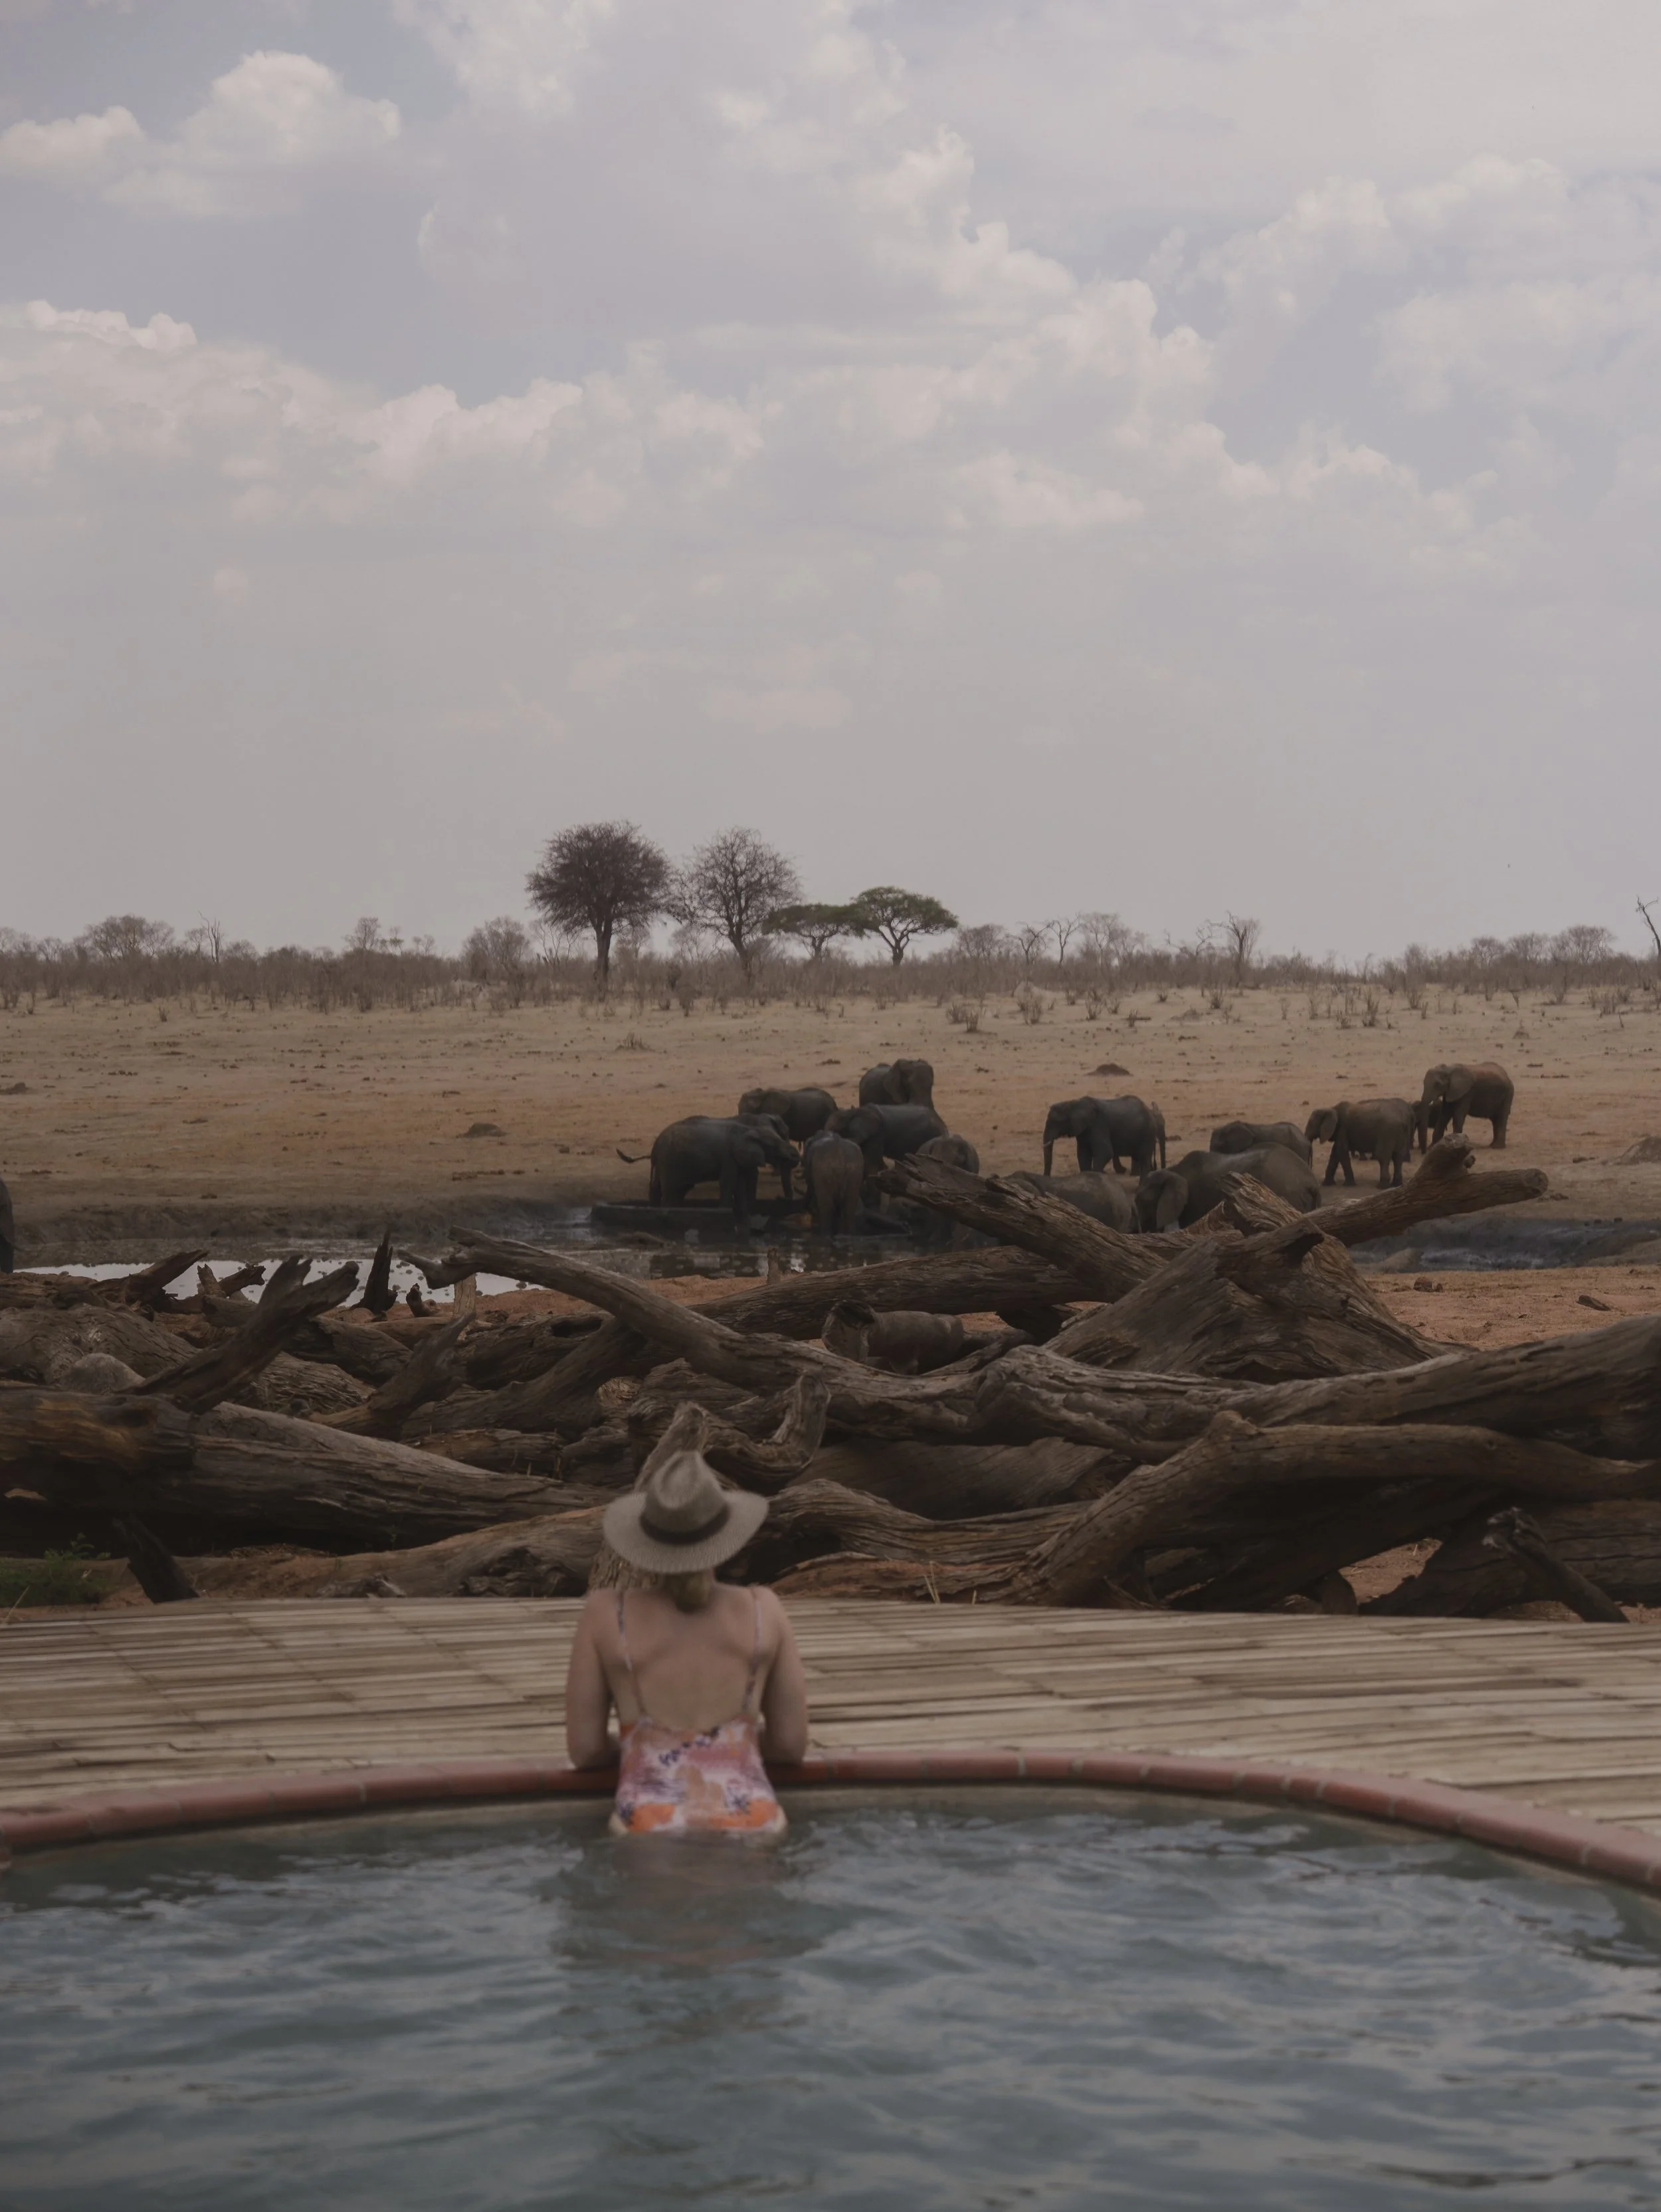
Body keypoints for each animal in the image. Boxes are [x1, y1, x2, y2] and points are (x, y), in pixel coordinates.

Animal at [618, 1115, 800, 1227]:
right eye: (773, 1146)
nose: (779, 1197)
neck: (748, 1129)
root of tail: (655, 1146)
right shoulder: (728, 1156)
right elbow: (728, 1183)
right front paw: (724, 1215)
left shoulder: (738, 1159)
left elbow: (739, 1185)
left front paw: (744, 1220)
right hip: (670, 1162)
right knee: (670, 1191)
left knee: (663, 1189)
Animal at [802, 1130, 866, 1235]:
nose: (807, 1209)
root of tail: (839, 1152)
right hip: (856, 1172)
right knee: (850, 1204)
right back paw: (847, 1235)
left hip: (824, 1170)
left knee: (826, 1204)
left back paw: (825, 1235)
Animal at [1042, 1094, 1164, 1177]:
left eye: (1056, 1122)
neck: (1073, 1103)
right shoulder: (1083, 1131)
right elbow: (1083, 1154)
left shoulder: (1099, 1125)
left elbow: (1105, 1151)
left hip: (1148, 1133)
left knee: (1144, 1157)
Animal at [1304, 1098, 1417, 1188]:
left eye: (1311, 1124)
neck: (1331, 1109)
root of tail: (1403, 1121)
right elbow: (1335, 1153)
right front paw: (1327, 1184)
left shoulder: (1342, 1129)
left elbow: (1341, 1151)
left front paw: (1349, 1185)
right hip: (1400, 1134)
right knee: (1398, 1157)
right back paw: (1397, 1185)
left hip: (1387, 1133)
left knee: (1383, 1156)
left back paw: (1381, 1187)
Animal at [1420, 1062, 1513, 1148]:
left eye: (1438, 1085)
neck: (1448, 1070)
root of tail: (1507, 1076)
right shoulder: (1451, 1091)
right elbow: (1444, 1115)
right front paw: (1432, 1147)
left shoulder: (1467, 1093)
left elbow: (1458, 1115)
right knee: (1496, 1120)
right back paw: (1493, 1145)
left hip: (1508, 1095)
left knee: (1501, 1118)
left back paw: (1497, 1147)